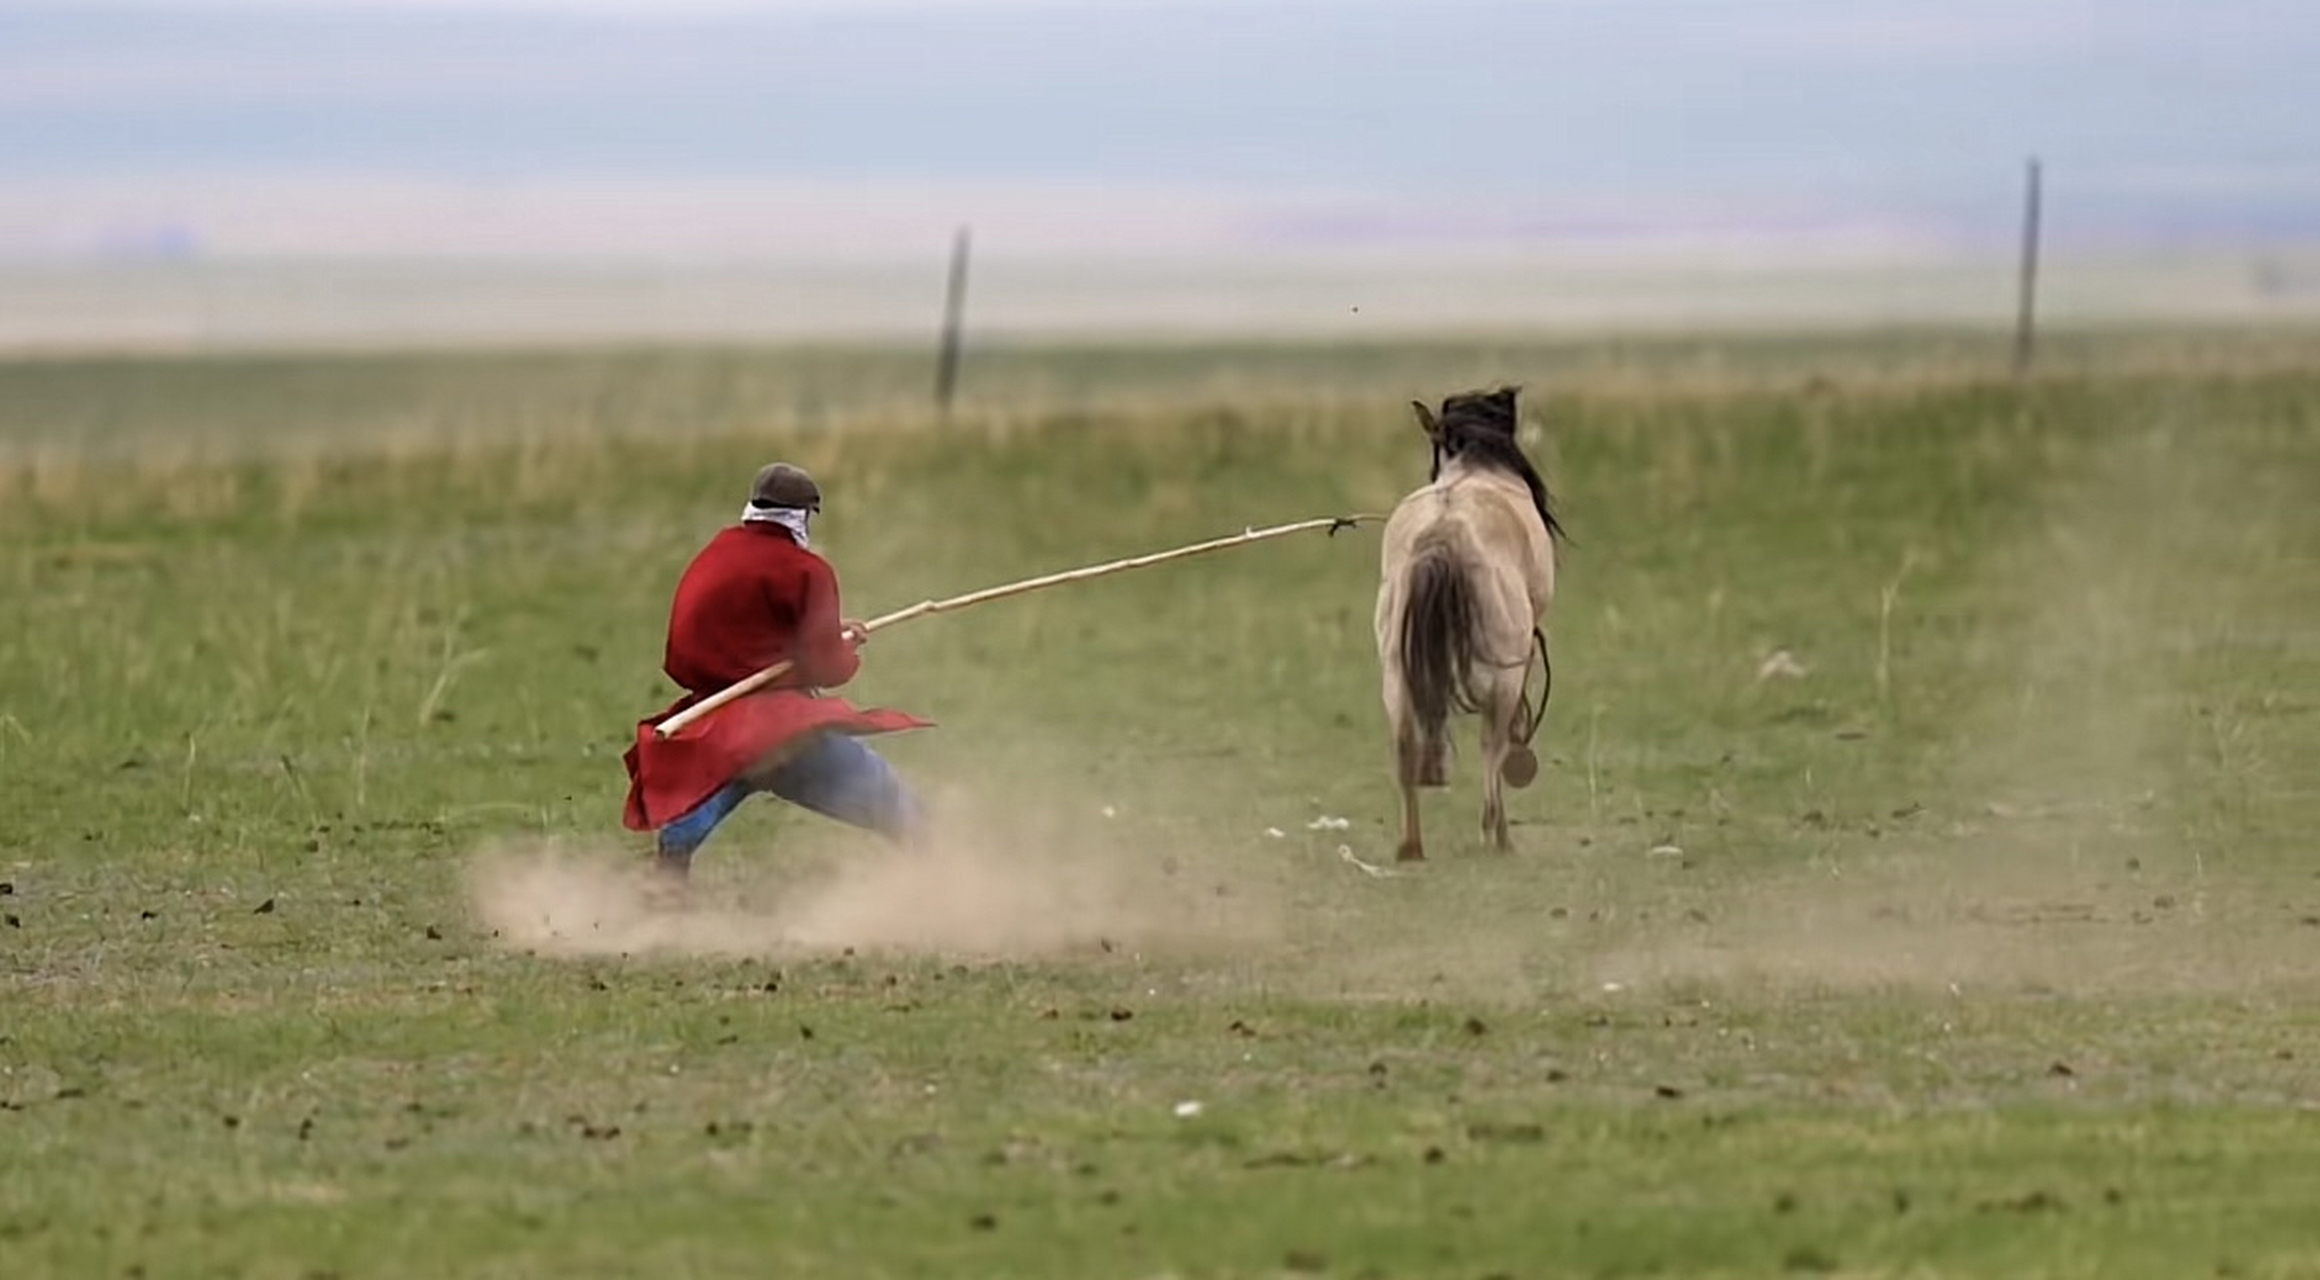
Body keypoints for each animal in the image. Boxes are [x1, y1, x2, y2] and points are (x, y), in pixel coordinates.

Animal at [1373, 387, 1564, 861]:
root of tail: (1442, 535)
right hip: (1501, 680)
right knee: (1491, 749)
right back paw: (1498, 836)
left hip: (1396, 677)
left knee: (1405, 748)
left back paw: (1410, 847)